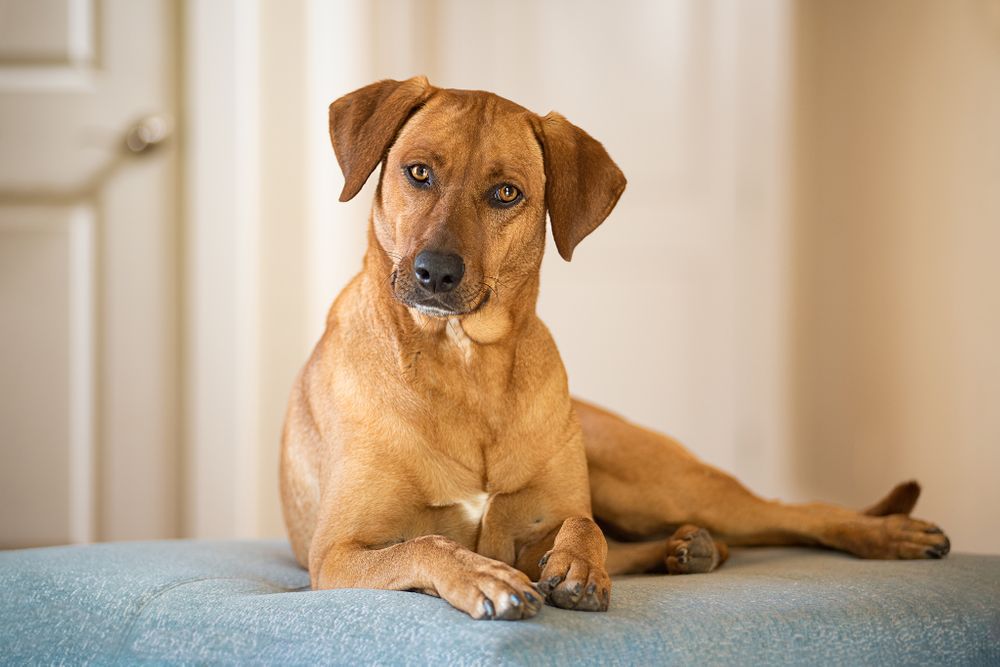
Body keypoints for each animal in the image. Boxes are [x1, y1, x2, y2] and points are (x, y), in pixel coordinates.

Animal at [280, 77, 944, 620]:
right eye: (418, 172)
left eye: (505, 193)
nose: (435, 273)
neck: (464, 362)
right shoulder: (335, 554)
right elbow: (426, 542)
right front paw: (483, 576)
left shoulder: (542, 521)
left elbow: (580, 521)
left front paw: (576, 564)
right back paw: (689, 548)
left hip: (661, 483)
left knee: (788, 513)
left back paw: (881, 535)